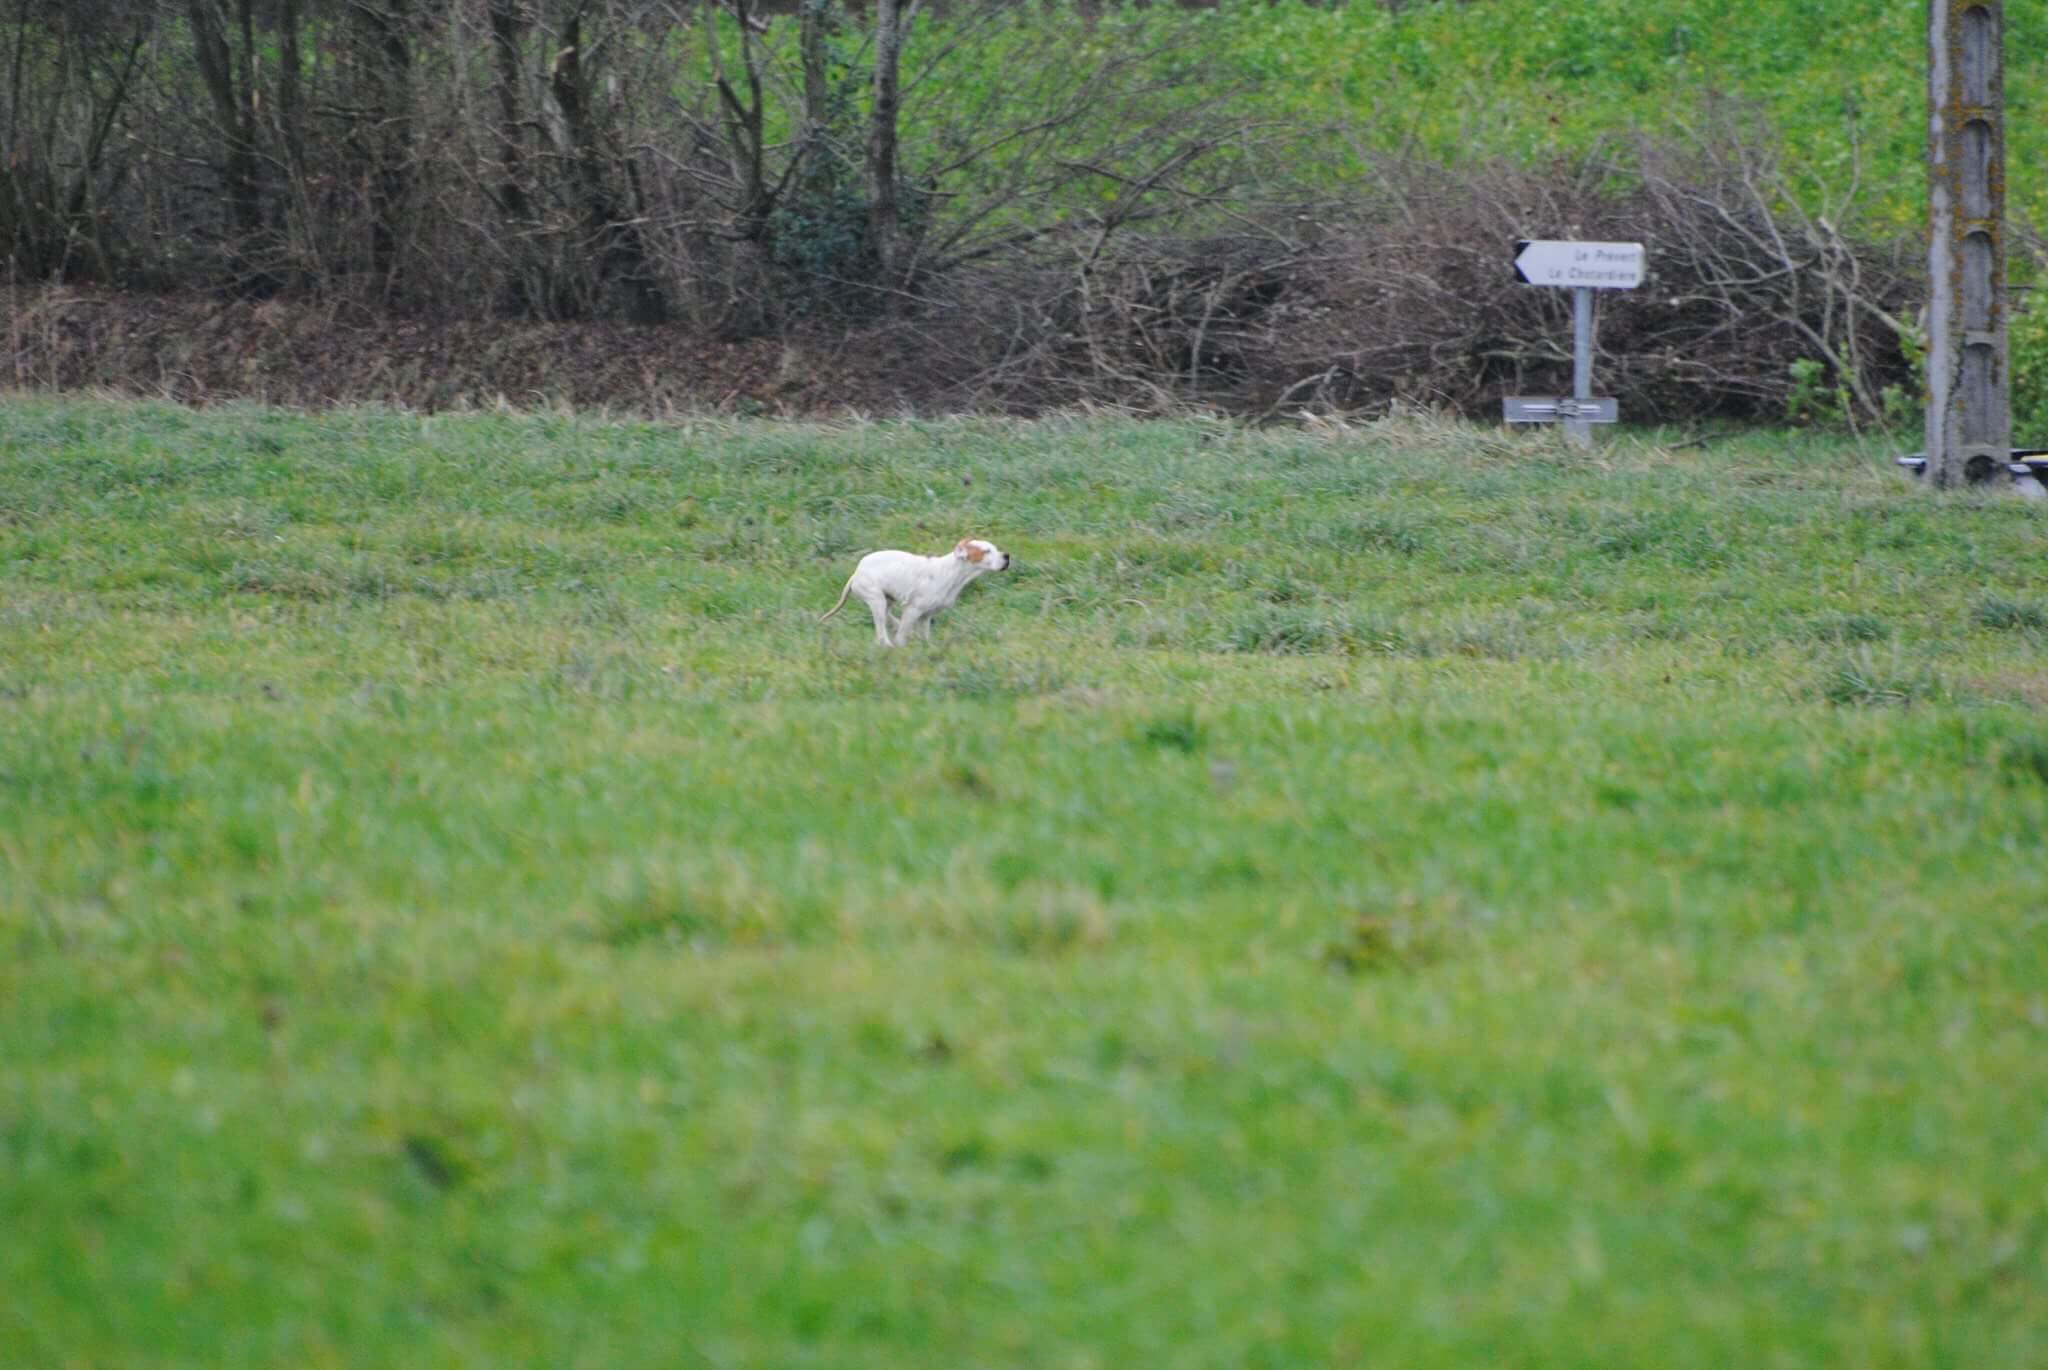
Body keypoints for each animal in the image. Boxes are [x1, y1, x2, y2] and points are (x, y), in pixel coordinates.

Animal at [815, 536, 1007, 643]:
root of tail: (856, 573)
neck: (952, 573)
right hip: (877, 600)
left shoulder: (926, 616)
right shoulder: (913, 610)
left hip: (887, 600)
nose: (1007, 556)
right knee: (881, 634)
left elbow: (925, 638)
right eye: (986, 551)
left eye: (996, 548)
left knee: (888, 617)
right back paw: (888, 645)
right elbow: (902, 637)